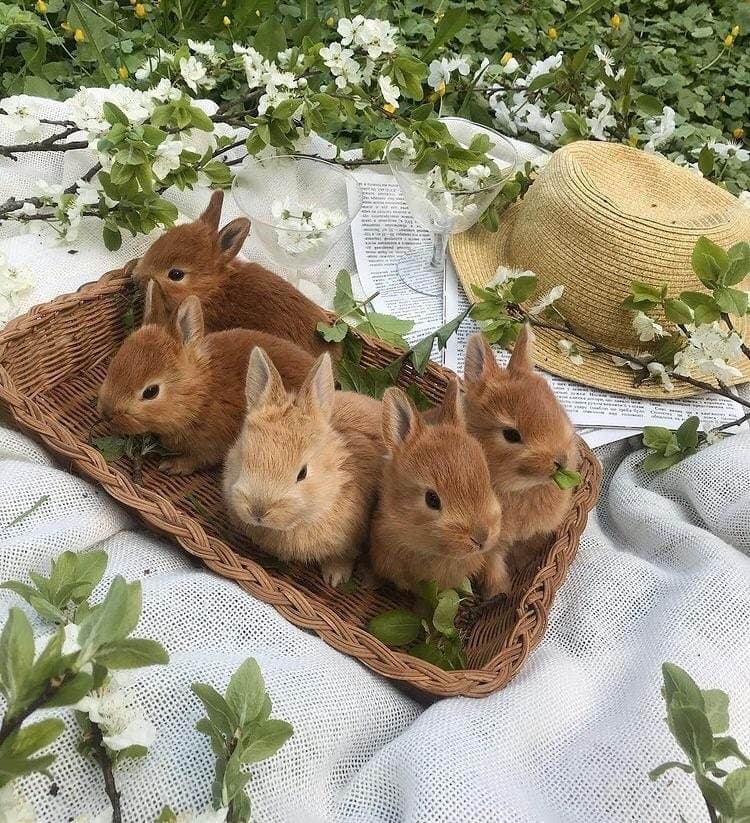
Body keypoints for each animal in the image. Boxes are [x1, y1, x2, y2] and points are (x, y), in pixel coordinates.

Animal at [97, 281, 314, 475]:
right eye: (115, 361)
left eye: (151, 392)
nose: (106, 413)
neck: (202, 396)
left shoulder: (212, 445)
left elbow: (197, 460)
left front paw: (171, 466)